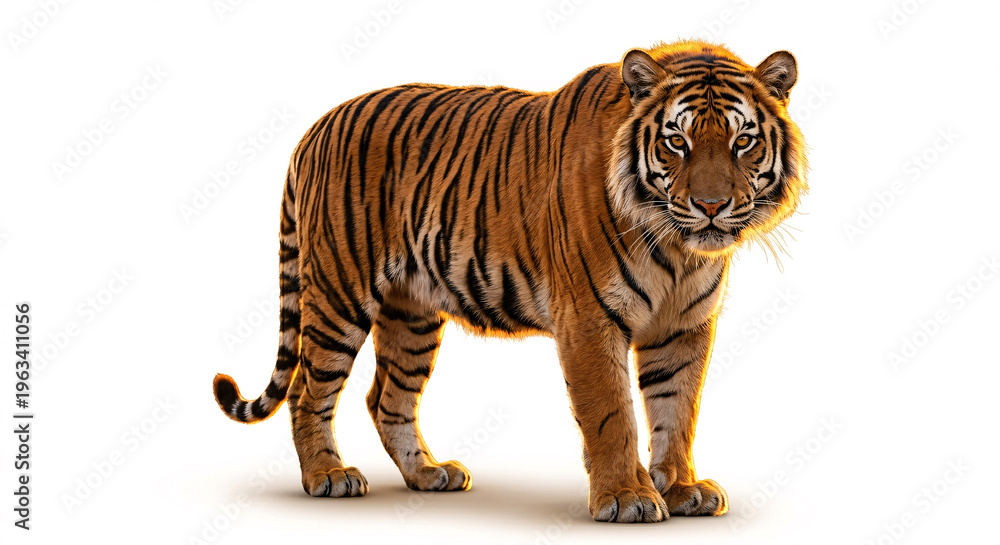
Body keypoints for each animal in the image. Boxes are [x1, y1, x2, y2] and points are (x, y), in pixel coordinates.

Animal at [213, 39, 807, 523]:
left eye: (743, 142)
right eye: (677, 142)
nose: (711, 206)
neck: (679, 251)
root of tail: (317, 125)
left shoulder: (683, 327)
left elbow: (677, 410)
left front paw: (682, 490)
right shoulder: (589, 318)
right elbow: (612, 413)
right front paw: (626, 497)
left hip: (412, 315)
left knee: (386, 397)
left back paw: (429, 474)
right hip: (340, 295)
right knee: (307, 390)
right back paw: (328, 477)